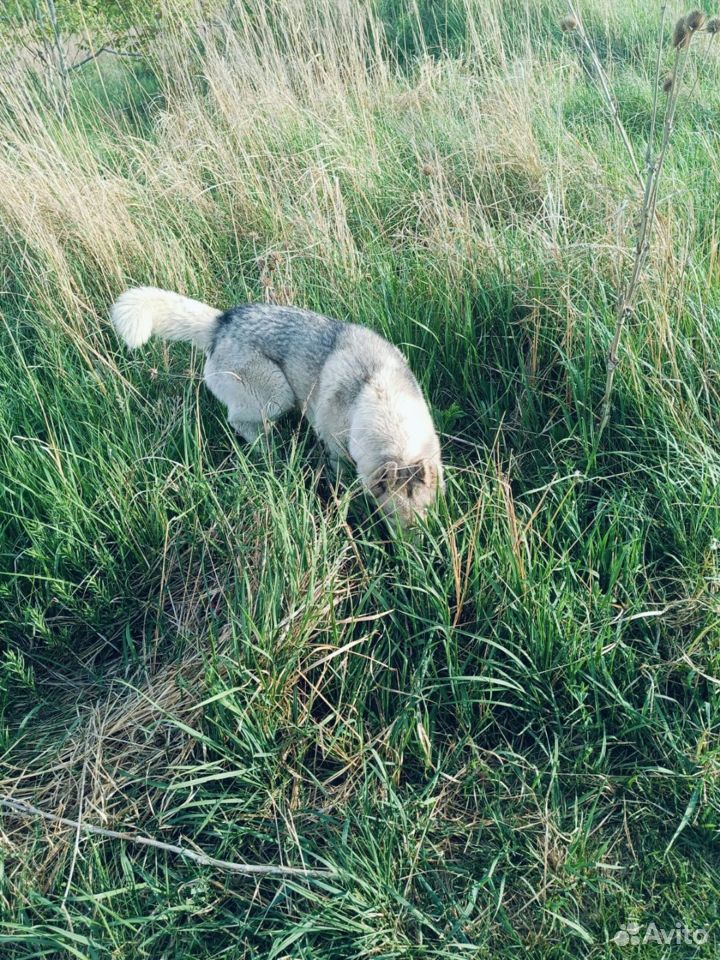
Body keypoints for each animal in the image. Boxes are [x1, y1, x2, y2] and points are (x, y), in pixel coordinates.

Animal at [111, 284, 444, 524]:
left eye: (427, 515)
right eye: (390, 517)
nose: (411, 555)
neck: (377, 395)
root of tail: (220, 323)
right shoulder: (336, 447)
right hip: (276, 396)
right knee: (239, 421)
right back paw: (270, 453)